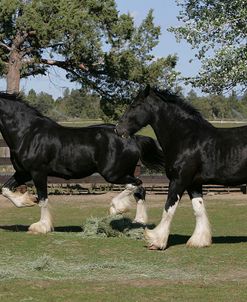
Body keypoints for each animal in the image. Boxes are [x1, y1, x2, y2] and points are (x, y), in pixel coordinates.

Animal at [0, 92, 166, 234]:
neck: (28, 133)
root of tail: (133, 138)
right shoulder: (23, 172)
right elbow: (5, 189)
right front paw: (27, 201)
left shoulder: (38, 172)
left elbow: (43, 199)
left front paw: (41, 226)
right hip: (125, 172)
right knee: (139, 190)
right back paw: (138, 221)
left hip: (113, 174)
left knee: (136, 184)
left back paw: (116, 208)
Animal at [116, 85, 247, 250]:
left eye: (134, 105)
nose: (118, 129)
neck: (186, 139)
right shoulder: (193, 184)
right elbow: (198, 209)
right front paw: (199, 241)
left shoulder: (178, 180)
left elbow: (168, 208)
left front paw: (156, 241)